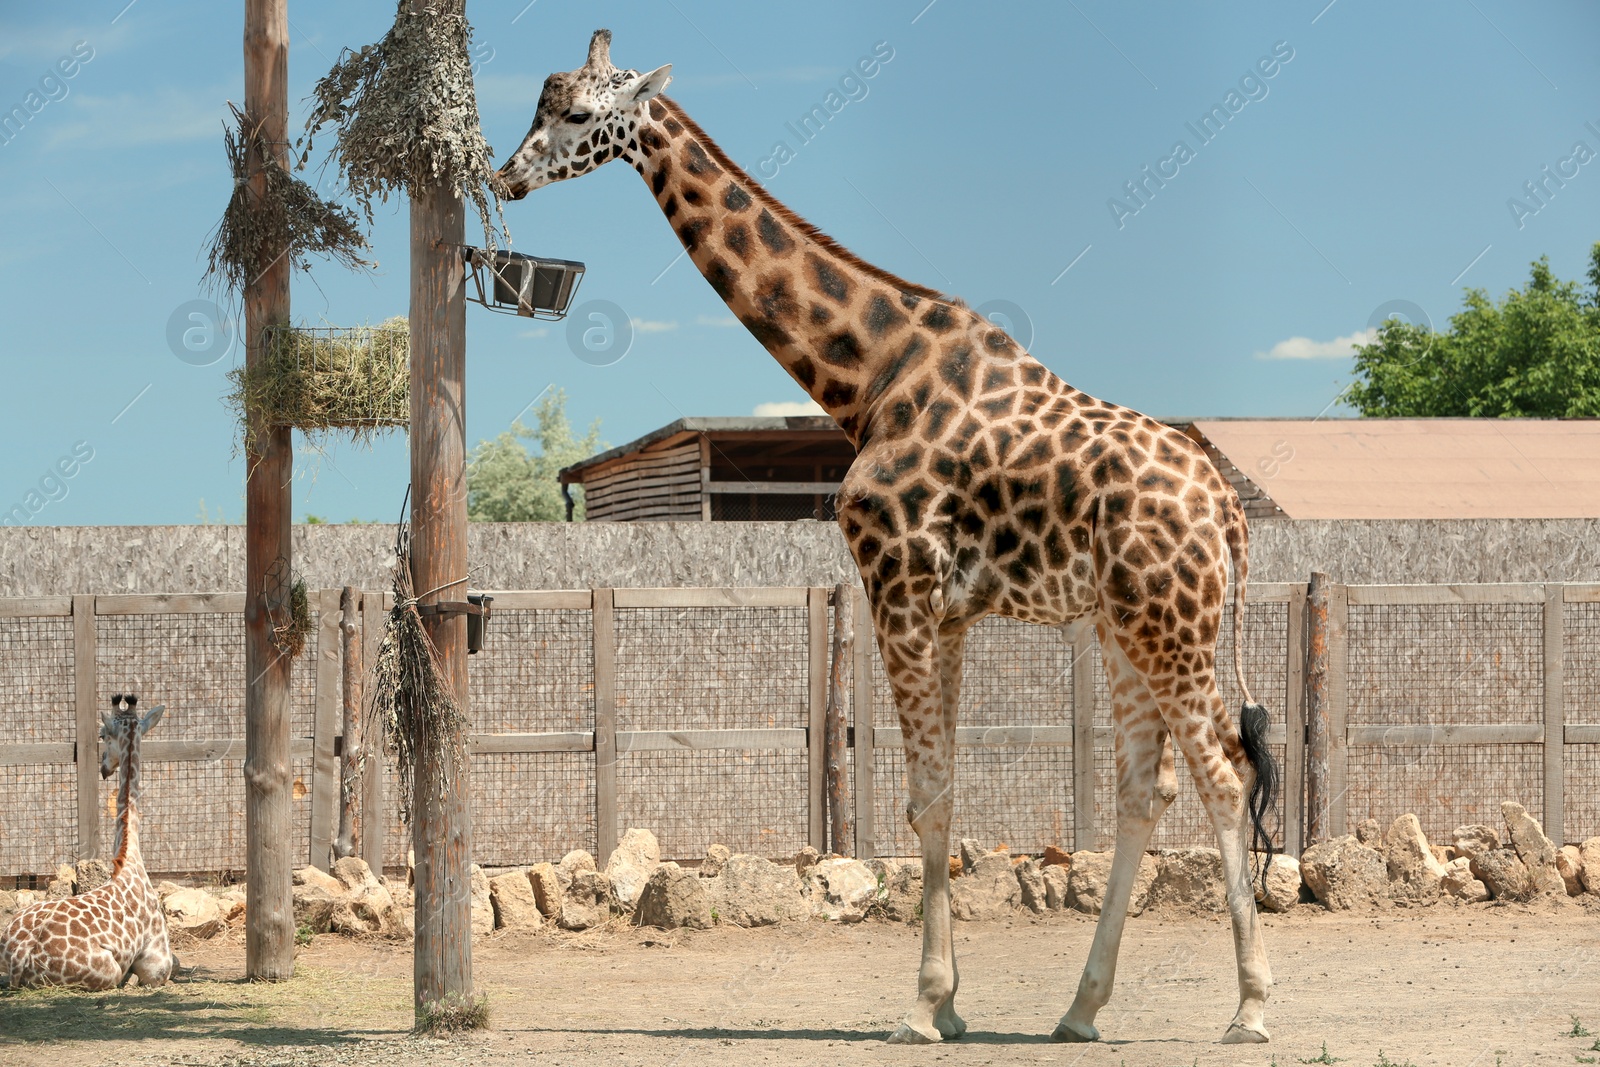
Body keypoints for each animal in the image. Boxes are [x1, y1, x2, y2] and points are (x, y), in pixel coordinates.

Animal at [1, 694, 176, 990]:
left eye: (103, 735)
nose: (104, 768)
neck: (130, 859)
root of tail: (21, 955)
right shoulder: (158, 965)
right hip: (107, 971)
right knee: (115, 976)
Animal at [496, 30, 1280, 1045]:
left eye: (581, 114)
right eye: (540, 104)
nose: (506, 176)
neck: (867, 376)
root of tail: (1225, 507)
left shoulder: (895, 583)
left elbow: (927, 795)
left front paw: (922, 1005)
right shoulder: (946, 611)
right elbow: (937, 794)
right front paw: (948, 1004)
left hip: (1171, 622)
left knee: (1224, 771)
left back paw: (1250, 1007)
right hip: (1124, 626)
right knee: (1148, 785)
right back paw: (1079, 1008)